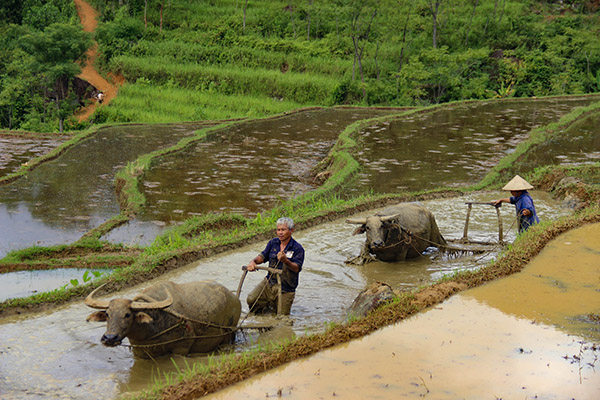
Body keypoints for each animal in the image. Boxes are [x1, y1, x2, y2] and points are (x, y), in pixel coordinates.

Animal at [85, 280, 240, 358]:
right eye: (107, 314)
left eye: (127, 314)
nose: (110, 338)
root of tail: (234, 298)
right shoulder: (139, 352)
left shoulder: (182, 348)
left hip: (228, 335)